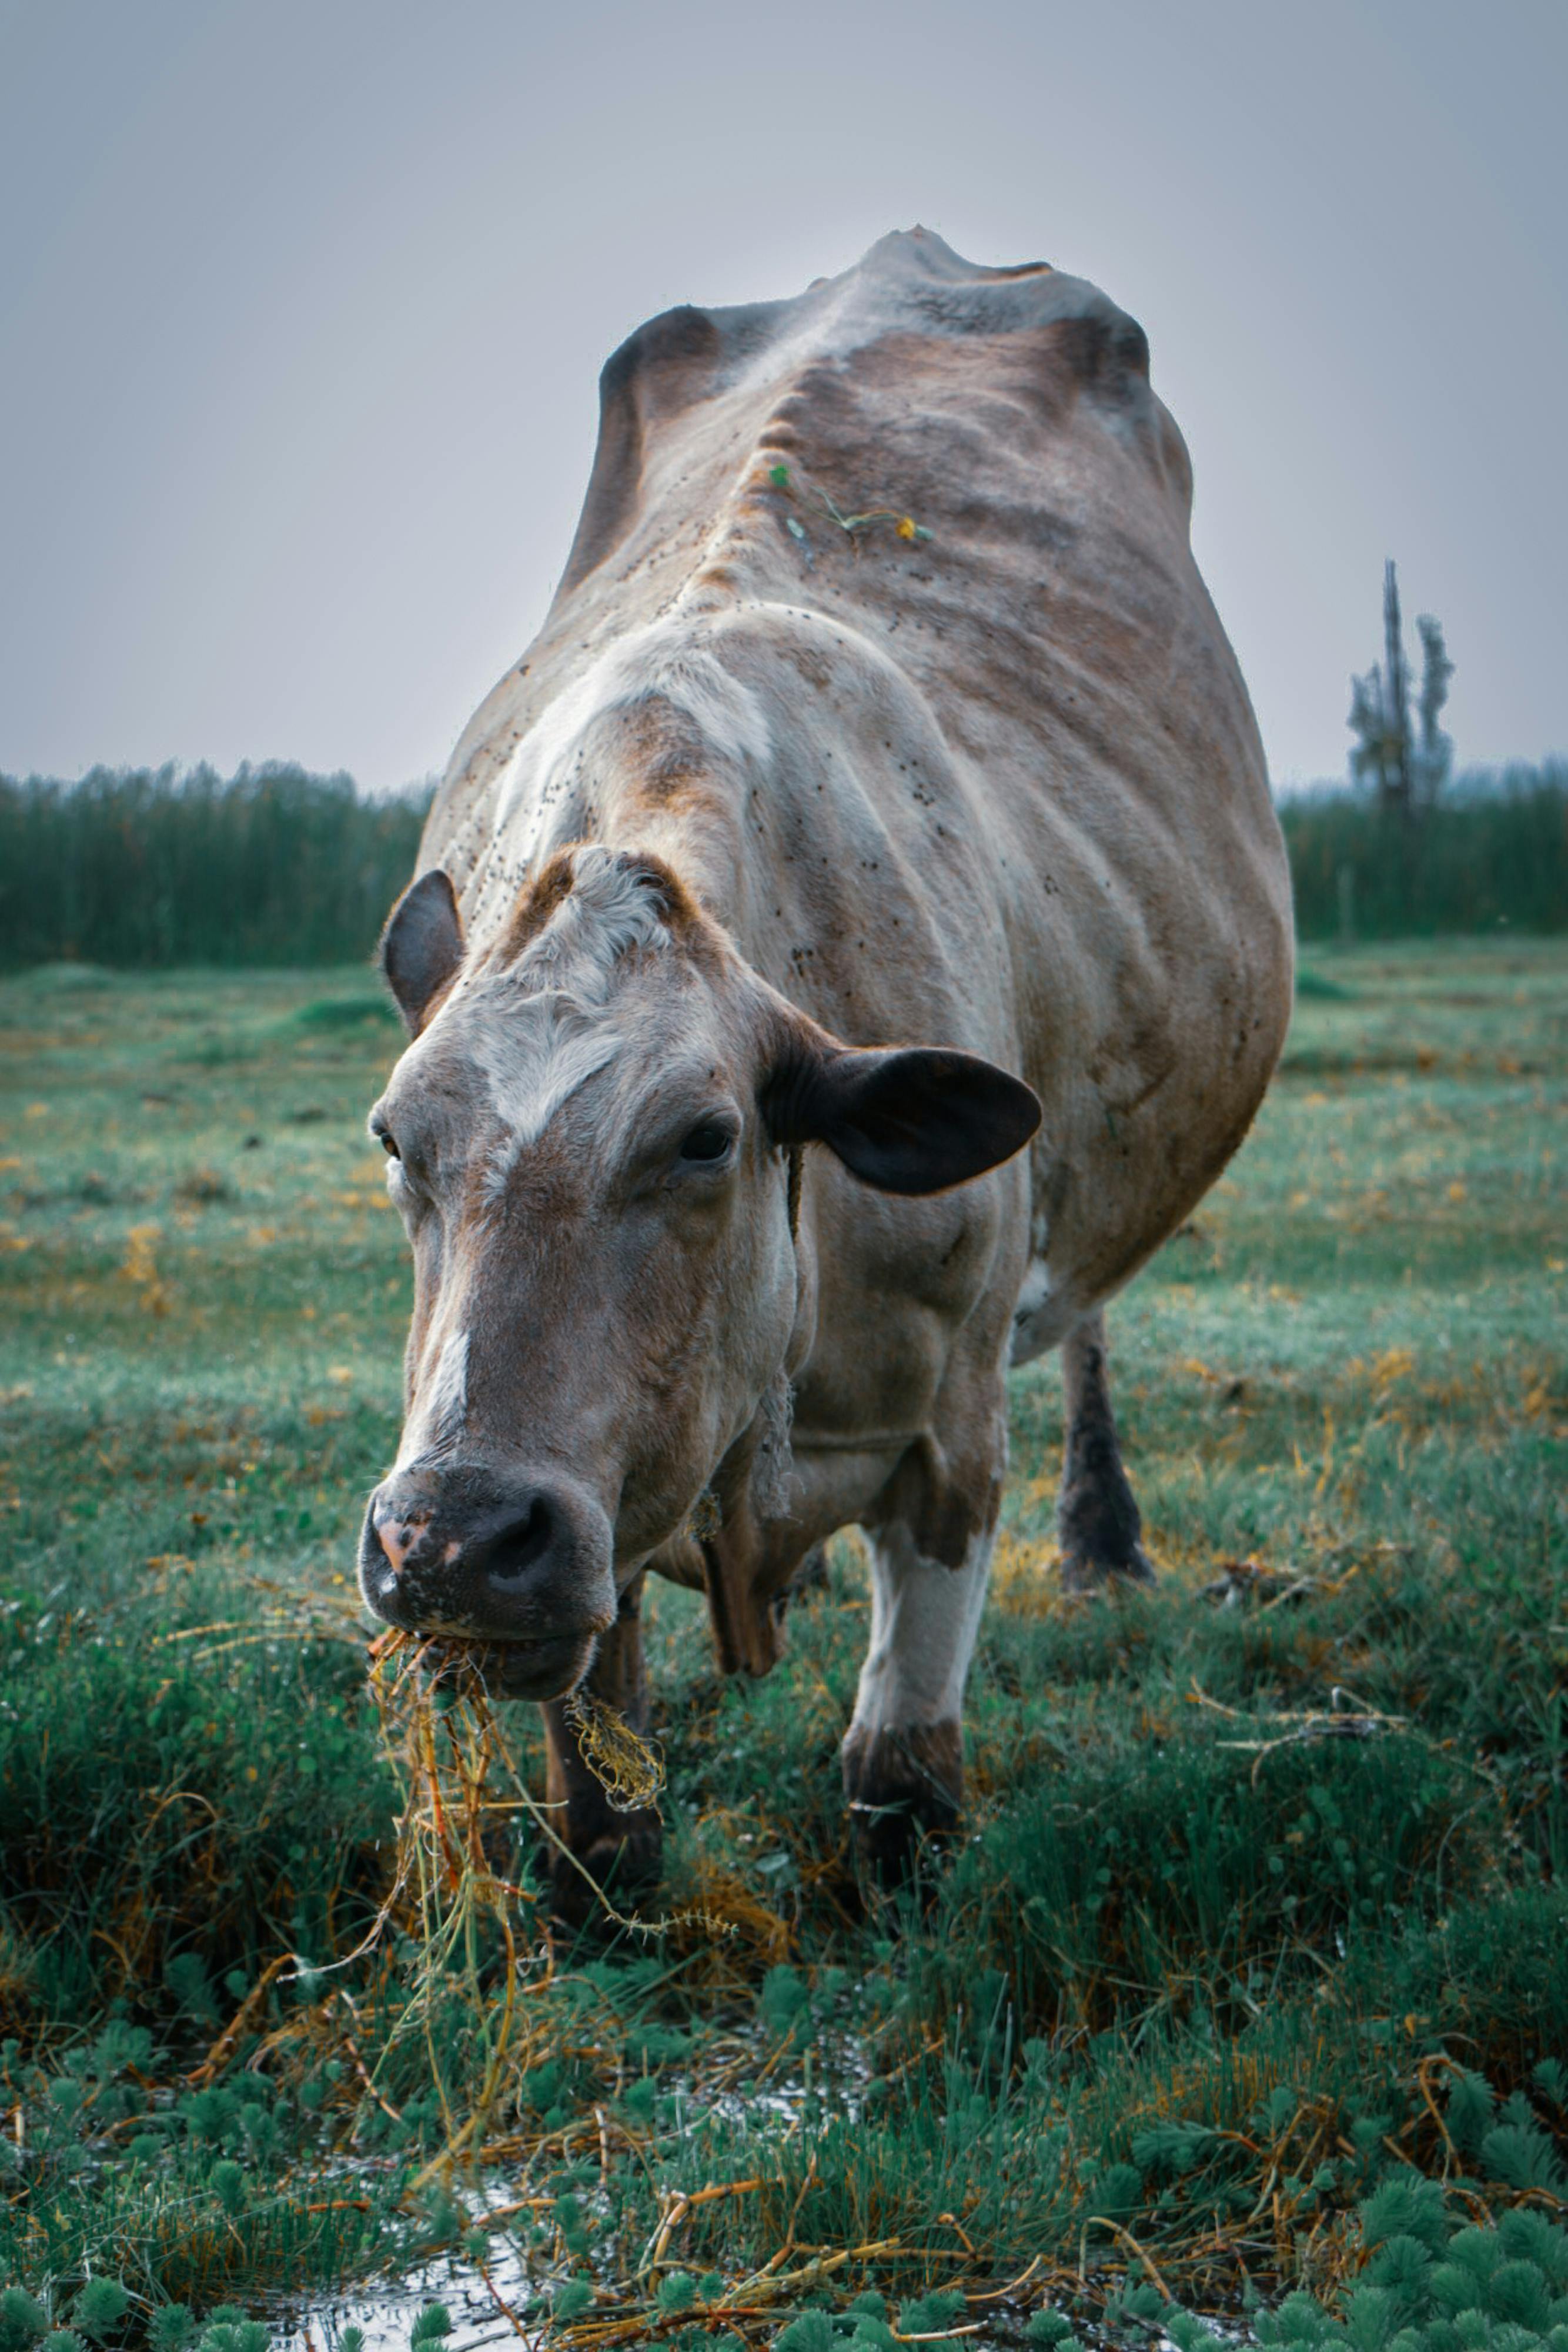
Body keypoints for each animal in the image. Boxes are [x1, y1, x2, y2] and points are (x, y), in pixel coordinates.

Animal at [362, 229, 1298, 1900]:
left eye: (704, 1138)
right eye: (399, 1138)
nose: (450, 1541)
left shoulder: (952, 1435)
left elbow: (899, 1783)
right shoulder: (599, 1509)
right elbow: (605, 1817)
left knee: (1091, 1318)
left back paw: (1105, 1538)